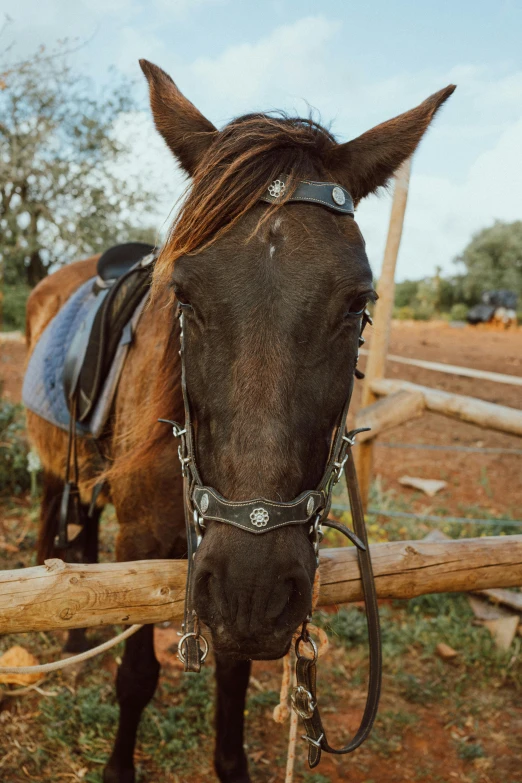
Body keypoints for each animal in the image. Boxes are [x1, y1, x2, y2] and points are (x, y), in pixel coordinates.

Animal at [26, 61, 452, 783]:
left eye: (358, 303)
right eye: (184, 295)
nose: (253, 592)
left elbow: (232, 677)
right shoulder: (145, 543)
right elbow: (137, 676)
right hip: (59, 463)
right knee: (57, 531)